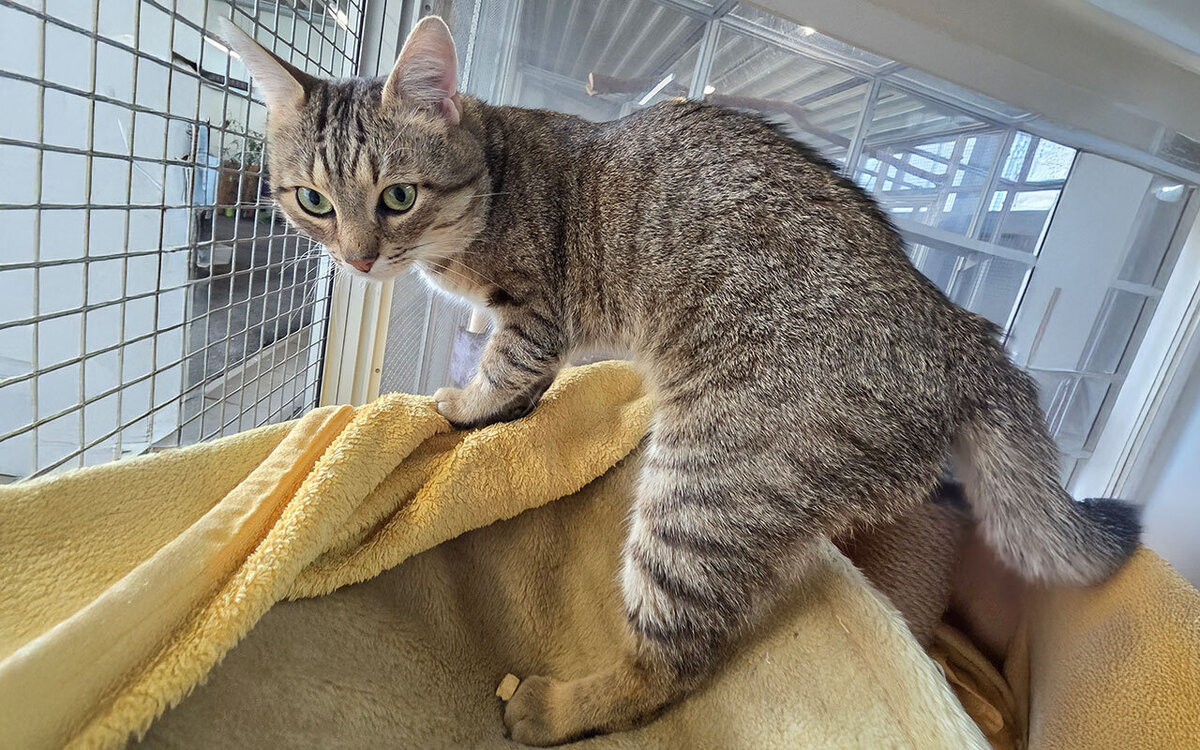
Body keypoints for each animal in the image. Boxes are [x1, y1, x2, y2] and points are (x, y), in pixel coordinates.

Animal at [221, 16, 1140, 746]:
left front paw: (462, 403)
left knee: (670, 664)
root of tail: (957, 327)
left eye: (398, 196)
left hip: (702, 488)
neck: (493, 177)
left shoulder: (537, 314)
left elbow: (502, 374)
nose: (357, 259)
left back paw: (552, 708)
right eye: (312, 201)